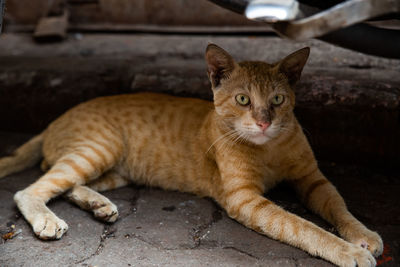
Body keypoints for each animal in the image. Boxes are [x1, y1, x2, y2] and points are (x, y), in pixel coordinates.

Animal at [0, 45, 382, 266]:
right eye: (243, 99)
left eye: (277, 100)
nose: (263, 123)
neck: (269, 147)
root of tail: (54, 121)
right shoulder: (245, 199)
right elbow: (302, 226)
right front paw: (349, 251)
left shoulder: (312, 179)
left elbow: (339, 207)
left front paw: (363, 235)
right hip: (97, 149)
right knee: (30, 189)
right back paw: (48, 220)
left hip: (111, 168)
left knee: (66, 184)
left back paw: (99, 204)